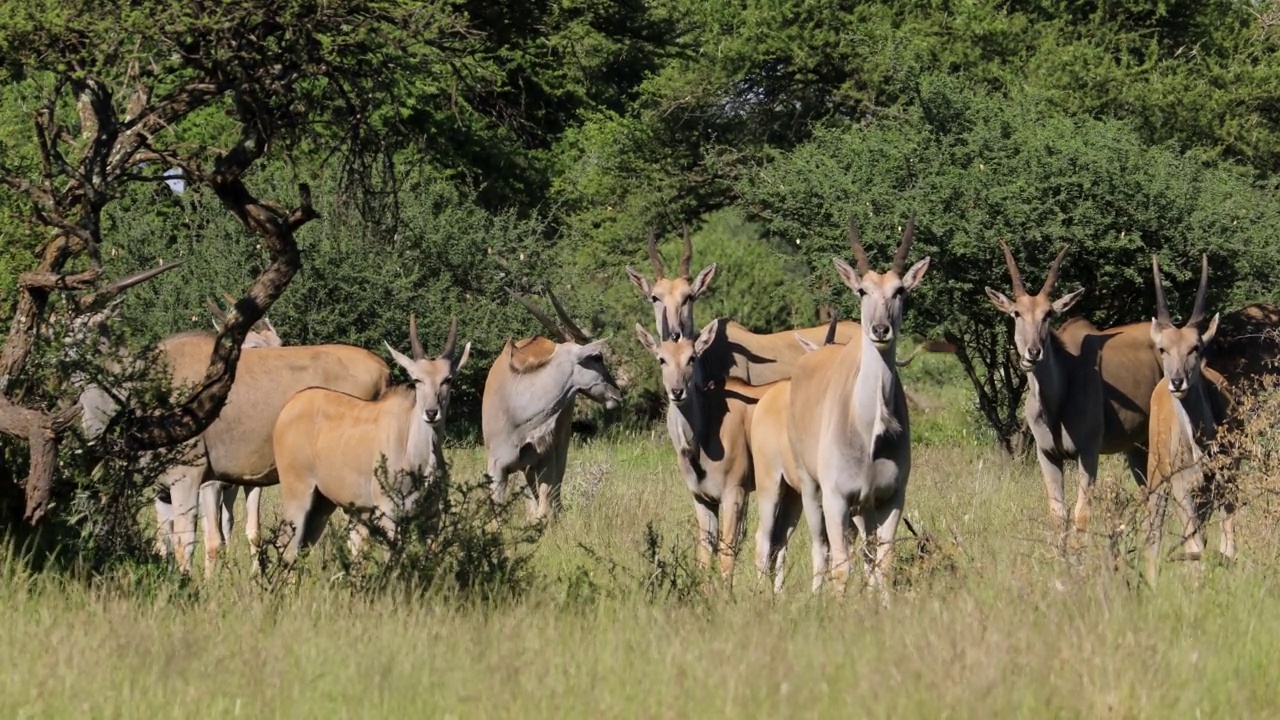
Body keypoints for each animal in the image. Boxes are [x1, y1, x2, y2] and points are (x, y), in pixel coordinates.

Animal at [275, 313, 471, 561]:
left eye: (448, 379)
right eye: (417, 380)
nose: (431, 412)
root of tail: (289, 407)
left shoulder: (431, 517)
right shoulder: (389, 512)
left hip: (322, 503)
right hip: (297, 493)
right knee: (287, 548)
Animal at [481, 288, 622, 517]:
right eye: (597, 357)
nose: (617, 394)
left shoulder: (544, 459)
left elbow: (544, 509)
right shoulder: (497, 469)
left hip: (558, 447)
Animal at [788, 213, 931, 594]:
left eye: (900, 291)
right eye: (862, 290)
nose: (880, 329)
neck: (869, 432)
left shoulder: (891, 499)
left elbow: (882, 565)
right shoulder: (836, 499)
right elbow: (840, 567)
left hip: (864, 510)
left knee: (866, 554)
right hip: (810, 490)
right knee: (820, 550)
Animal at [1146, 254, 1233, 579]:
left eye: (1195, 347)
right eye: (1163, 348)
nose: (1178, 381)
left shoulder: (1227, 483)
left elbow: (1227, 545)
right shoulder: (1182, 488)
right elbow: (1196, 546)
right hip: (1157, 477)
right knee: (1154, 535)